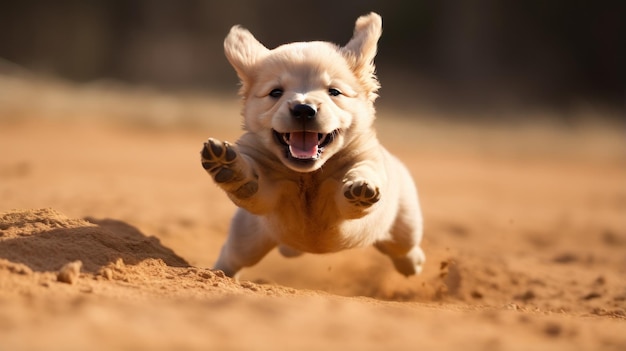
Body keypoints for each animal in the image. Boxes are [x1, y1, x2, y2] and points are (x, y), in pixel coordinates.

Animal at [200, 12, 424, 280]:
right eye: (276, 92)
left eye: (334, 91)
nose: (303, 109)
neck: (308, 174)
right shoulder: (266, 186)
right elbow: (253, 185)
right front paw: (227, 166)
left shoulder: (364, 160)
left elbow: (362, 172)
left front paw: (361, 188)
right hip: (248, 233)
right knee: (233, 255)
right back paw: (218, 273)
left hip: (405, 219)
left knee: (403, 247)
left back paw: (413, 264)